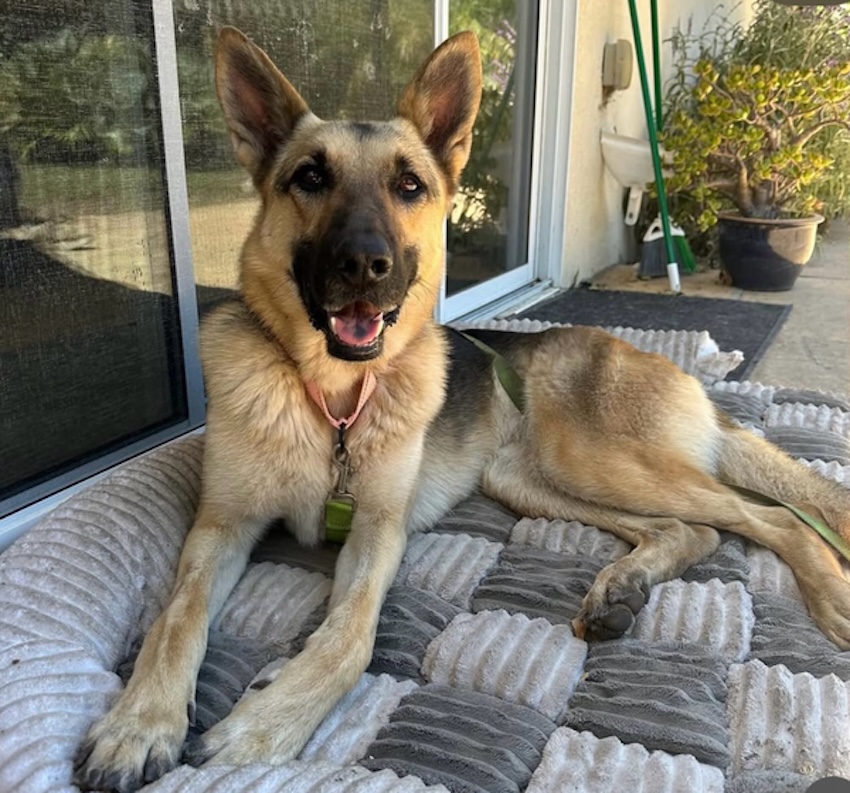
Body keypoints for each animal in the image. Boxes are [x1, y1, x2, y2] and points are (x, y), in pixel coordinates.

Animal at [75, 28, 850, 792]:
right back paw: (622, 587)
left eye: (409, 186)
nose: (366, 264)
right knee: (694, 530)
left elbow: (349, 638)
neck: (334, 401)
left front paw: (263, 725)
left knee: (771, 516)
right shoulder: (219, 527)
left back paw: (828, 596)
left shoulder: (378, 532)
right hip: (531, 479)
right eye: (310, 178)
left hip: (591, 458)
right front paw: (139, 724)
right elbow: (176, 618)